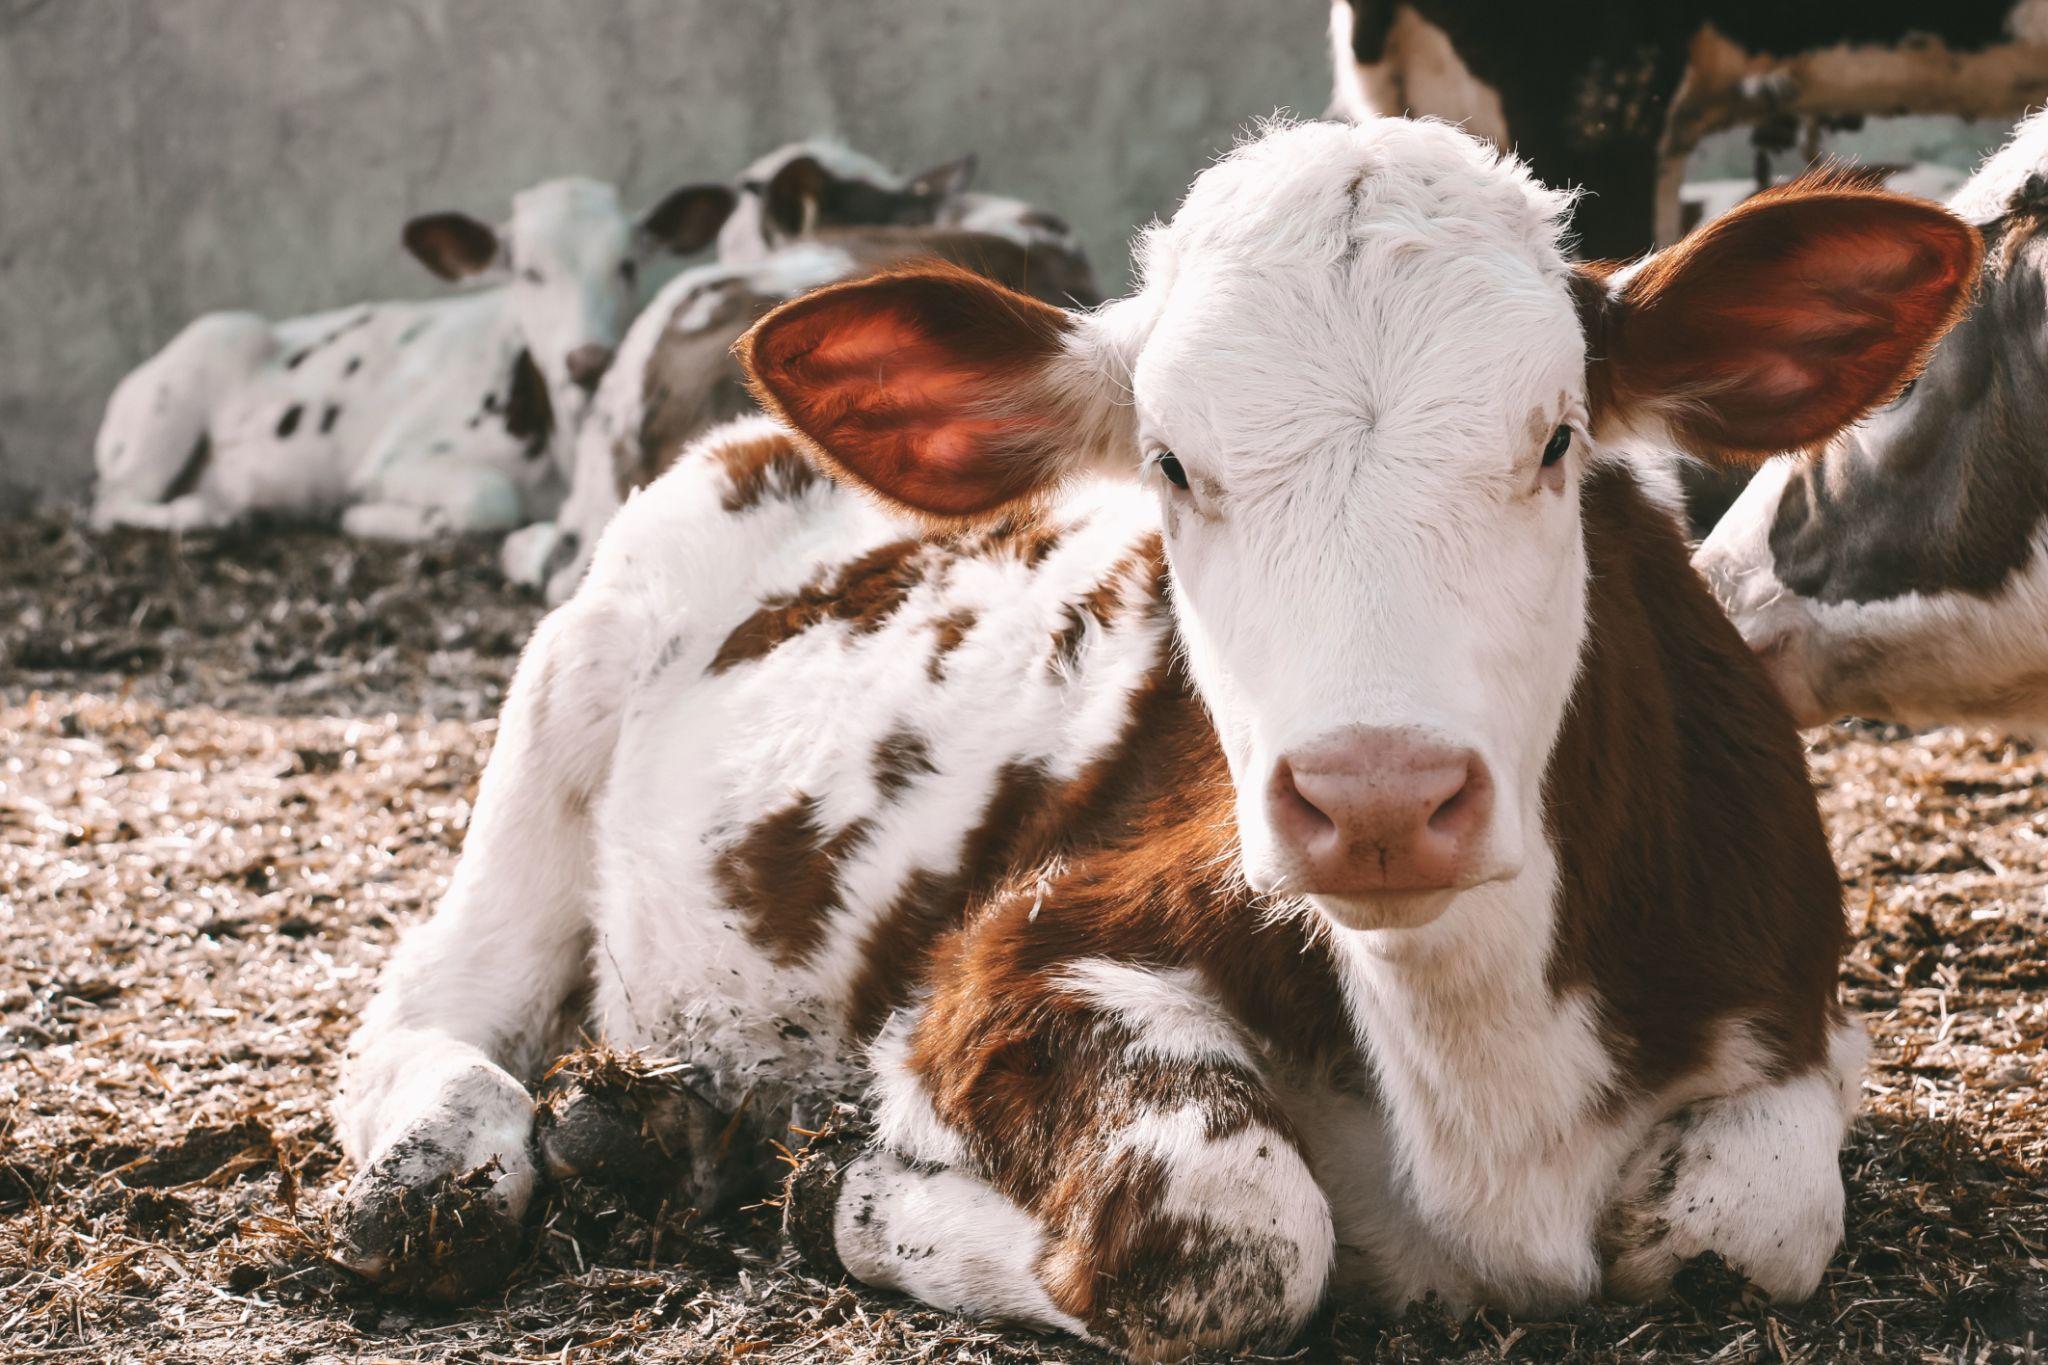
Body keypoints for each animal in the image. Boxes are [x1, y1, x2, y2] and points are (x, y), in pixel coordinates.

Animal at [90, 177, 738, 539]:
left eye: (627, 265)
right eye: (528, 271)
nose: (586, 359)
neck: (560, 448)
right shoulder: (397, 458)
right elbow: (488, 500)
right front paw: (371, 518)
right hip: (194, 372)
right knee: (111, 501)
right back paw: (202, 516)